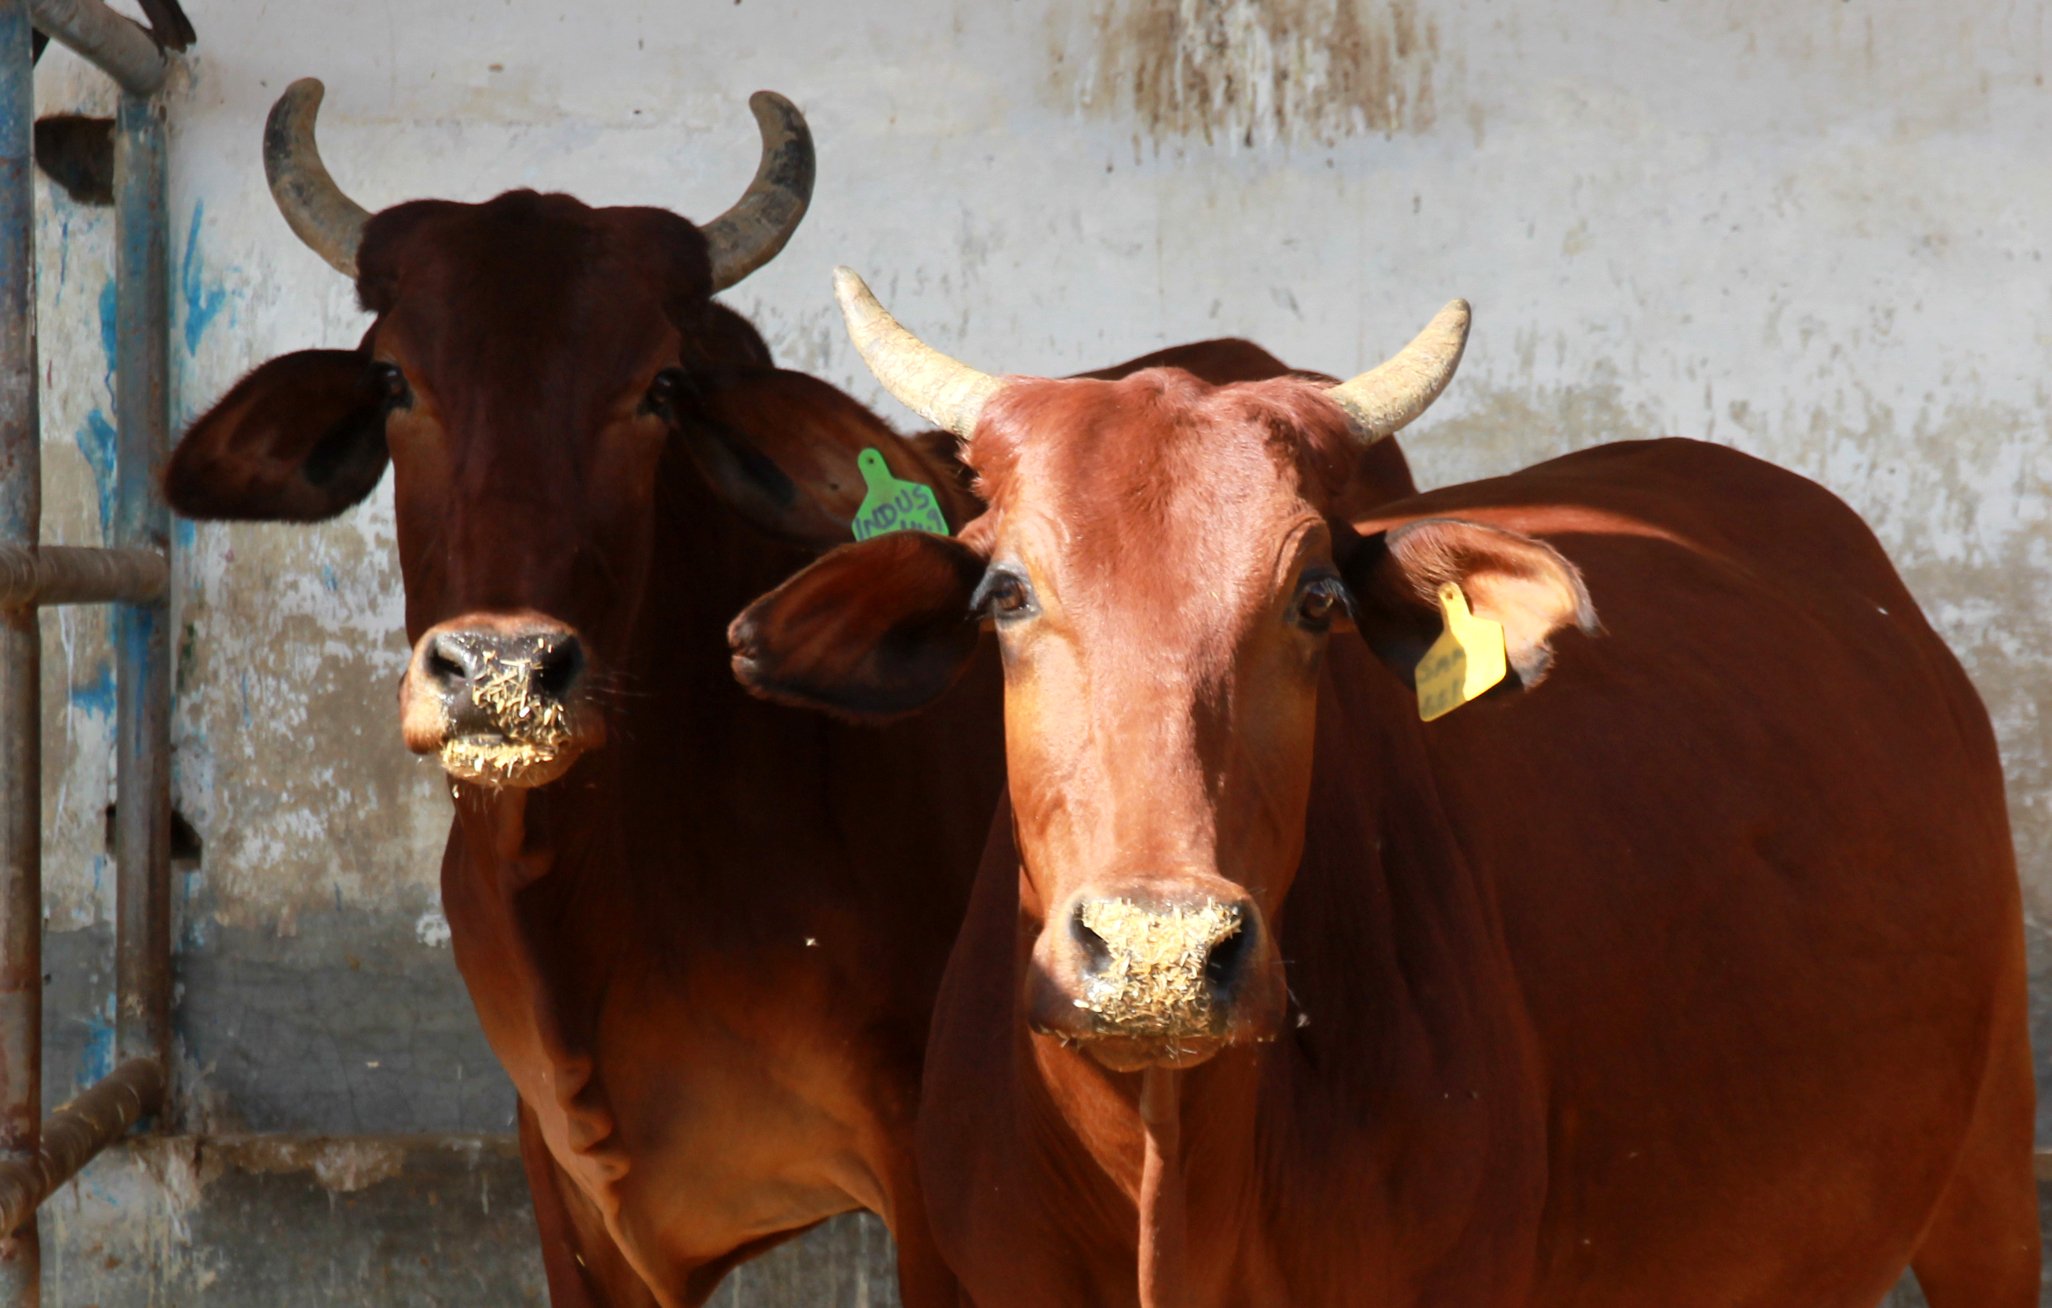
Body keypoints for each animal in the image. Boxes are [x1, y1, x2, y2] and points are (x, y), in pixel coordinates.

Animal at [164, 84, 1411, 1305]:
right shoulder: (566, 1194)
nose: (504, 671)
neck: (587, 886)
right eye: (393, 379)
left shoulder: (922, 1175)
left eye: (659, 386)